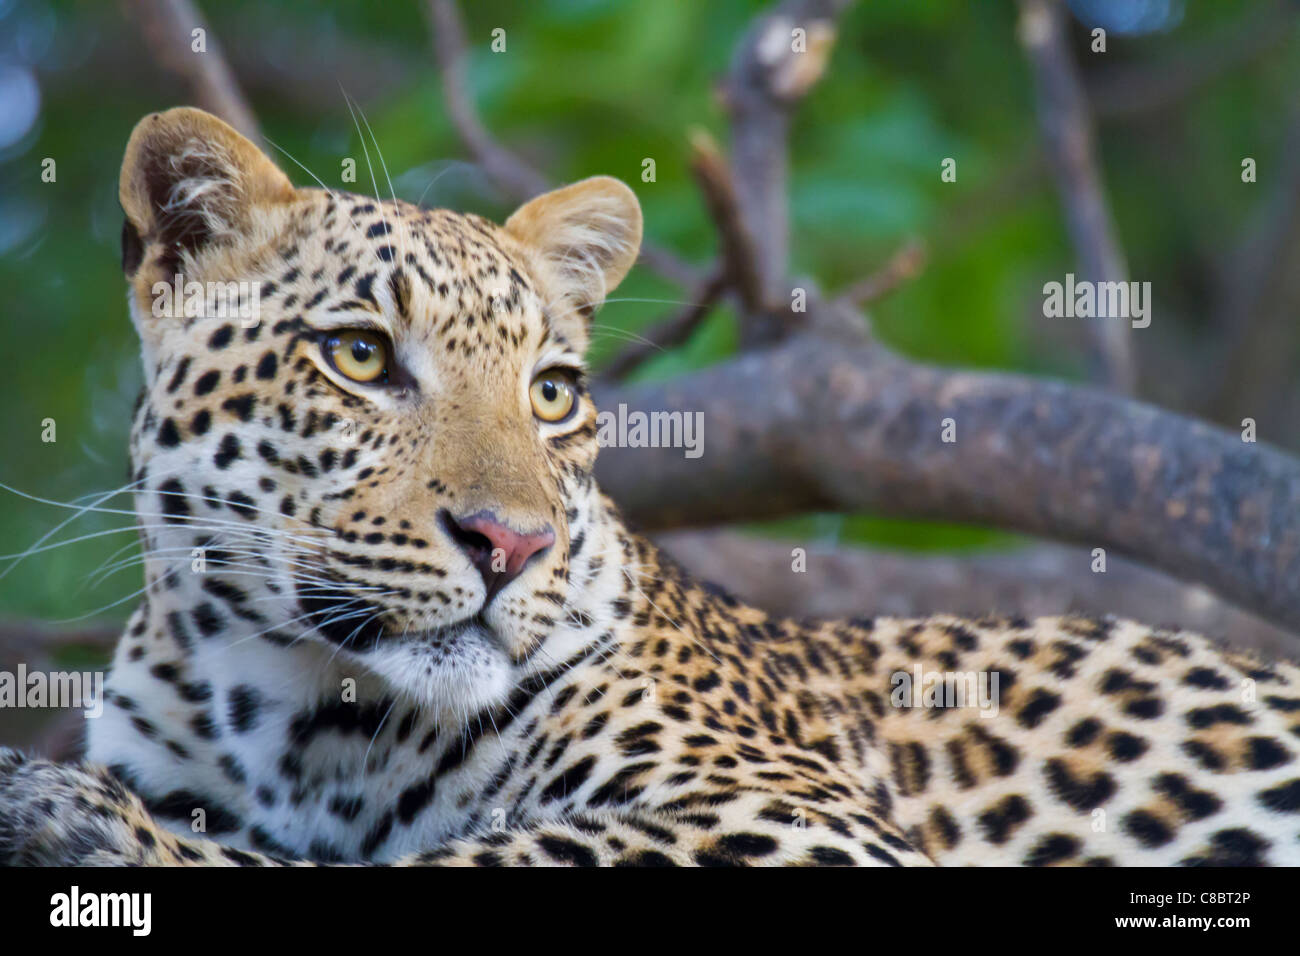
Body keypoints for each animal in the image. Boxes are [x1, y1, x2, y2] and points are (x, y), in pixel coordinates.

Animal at [1, 106, 1298, 867]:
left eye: (552, 392)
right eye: (361, 354)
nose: (510, 544)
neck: (293, 714)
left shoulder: (785, 809)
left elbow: (476, 856)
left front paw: (84, 818)